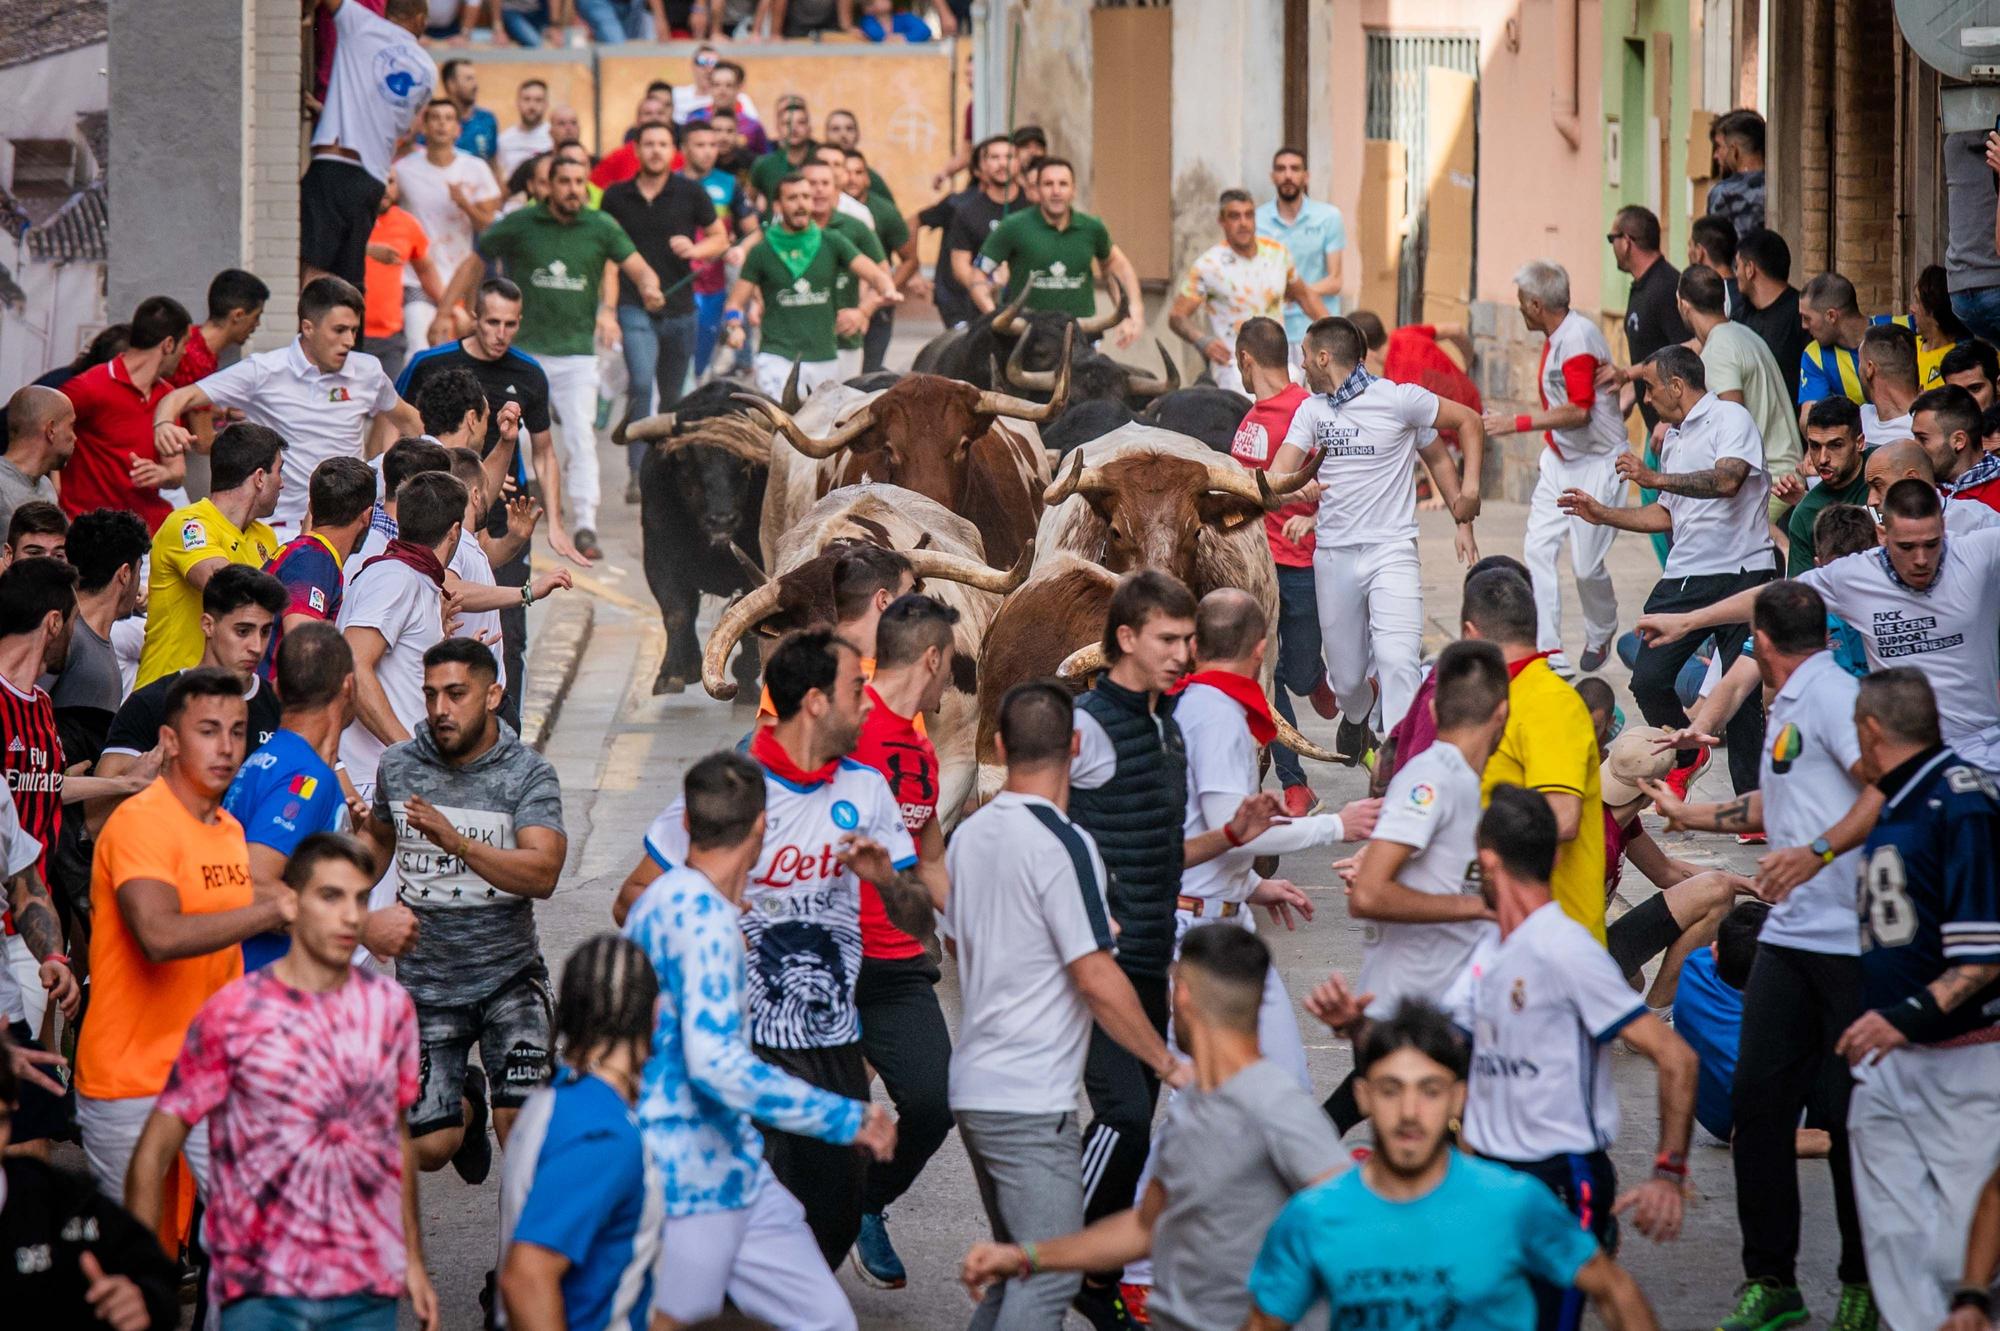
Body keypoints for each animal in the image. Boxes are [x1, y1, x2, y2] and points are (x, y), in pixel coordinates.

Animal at [616, 375, 772, 695]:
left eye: (745, 462)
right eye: (685, 459)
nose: (721, 520)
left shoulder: (755, 563)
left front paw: (745, 674)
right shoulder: (658, 558)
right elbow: (676, 611)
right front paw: (672, 673)